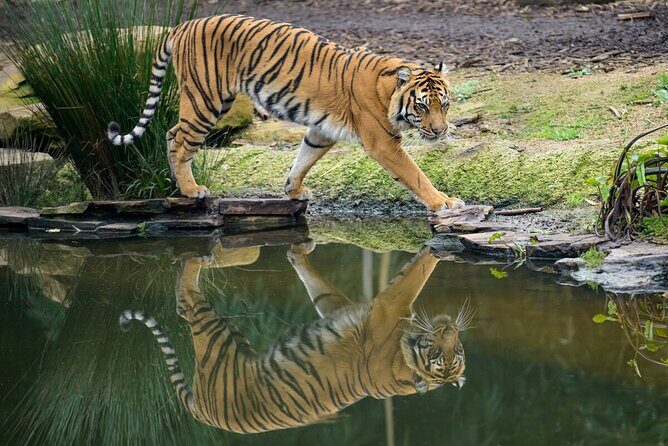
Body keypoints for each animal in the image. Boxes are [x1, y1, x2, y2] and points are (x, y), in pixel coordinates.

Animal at [107, 14, 465, 212]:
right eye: (422, 105)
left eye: (444, 104)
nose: (439, 131)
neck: (389, 91)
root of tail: (182, 25)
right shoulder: (383, 143)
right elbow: (415, 175)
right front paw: (444, 202)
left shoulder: (321, 130)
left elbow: (303, 159)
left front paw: (293, 189)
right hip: (204, 99)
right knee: (182, 141)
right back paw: (191, 189)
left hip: (213, 101)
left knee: (171, 134)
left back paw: (178, 186)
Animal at [119, 245, 472, 434]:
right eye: (442, 351)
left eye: (453, 351)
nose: (451, 328)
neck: (408, 359)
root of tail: (202, 414)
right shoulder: (373, 309)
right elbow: (416, 273)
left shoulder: (387, 308)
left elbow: (416, 273)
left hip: (217, 340)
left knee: (185, 305)